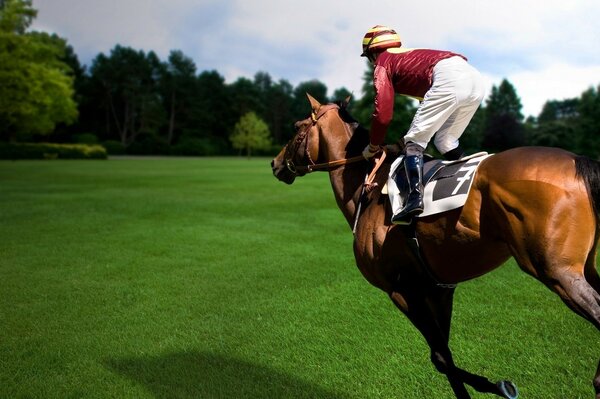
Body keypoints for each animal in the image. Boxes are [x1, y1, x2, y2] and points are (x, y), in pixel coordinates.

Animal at [270, 94, 600, 399]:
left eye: (297, 127)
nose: (275, 163)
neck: (368, 188)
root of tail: (579, 160)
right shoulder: (439, 288)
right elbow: (444, 356)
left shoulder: (402, 289)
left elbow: (440, 358)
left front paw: (500, 386)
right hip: (584, 268)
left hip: (557, 271)